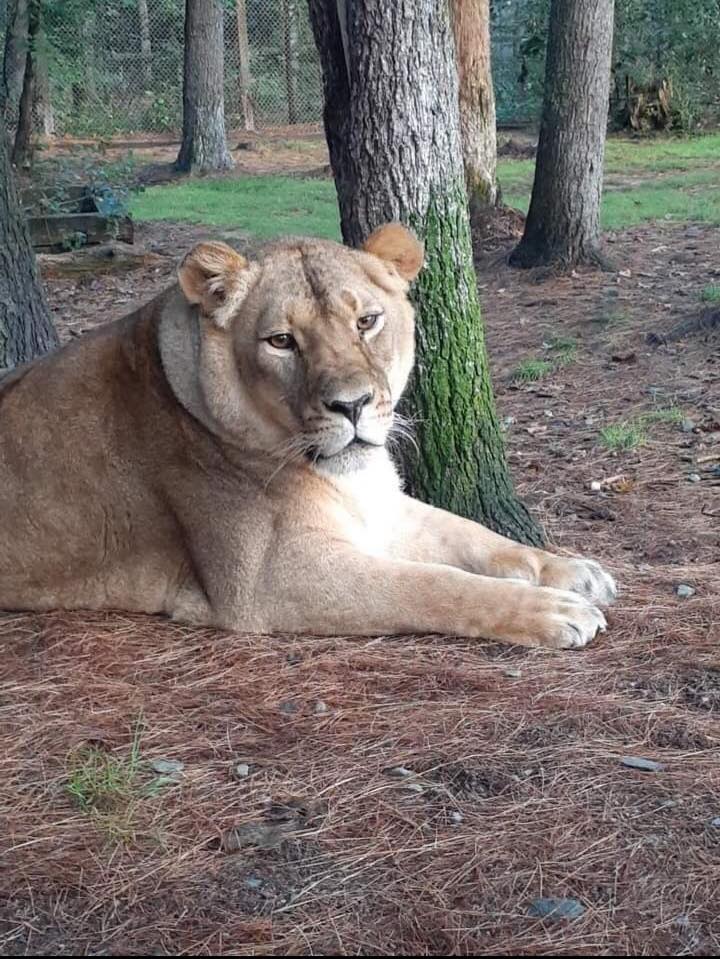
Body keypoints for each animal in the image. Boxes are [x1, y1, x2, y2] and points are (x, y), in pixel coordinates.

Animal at [0, 223, 615, 648]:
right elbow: (434, 584)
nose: (353, 405)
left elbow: (479, 537)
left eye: (367, 321)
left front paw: (574, 571)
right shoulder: (270, 578)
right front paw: (553, 610)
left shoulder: (381, 506)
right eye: (281, 341)